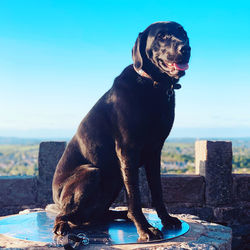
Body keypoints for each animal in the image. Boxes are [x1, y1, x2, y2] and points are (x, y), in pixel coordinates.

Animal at [52, 22, 189, 242]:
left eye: (183, 33)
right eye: (161, 36)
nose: (185, 48)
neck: (152, 85)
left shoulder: (155, 151)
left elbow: (157, 190)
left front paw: (166, 219)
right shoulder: (127, 150)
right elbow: (134, 195)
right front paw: (145, 229)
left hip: (113, 179)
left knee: (102, 213)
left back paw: (124, 215)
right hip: (92, 172)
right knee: (63, 215)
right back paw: (62, 225)